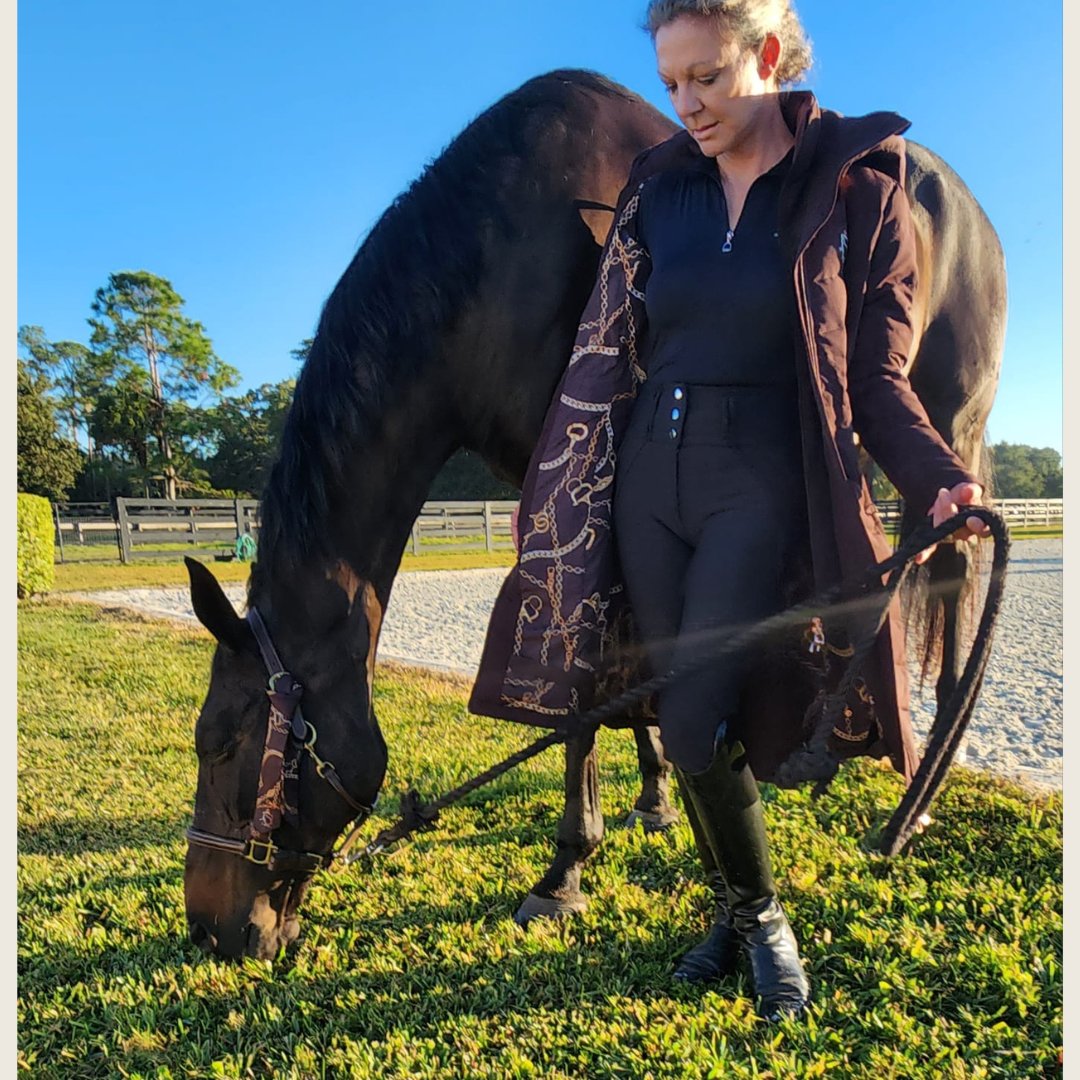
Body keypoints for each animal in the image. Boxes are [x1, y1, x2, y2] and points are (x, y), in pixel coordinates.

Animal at [183, 69, 1002, 963]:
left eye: (222, 742)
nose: (209, 929)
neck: (498, 256)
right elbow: (630, 657)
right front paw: (656, 797)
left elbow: (579, 685)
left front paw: (564, 871)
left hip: (949, 421)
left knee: (957, 574)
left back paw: (918, 800)